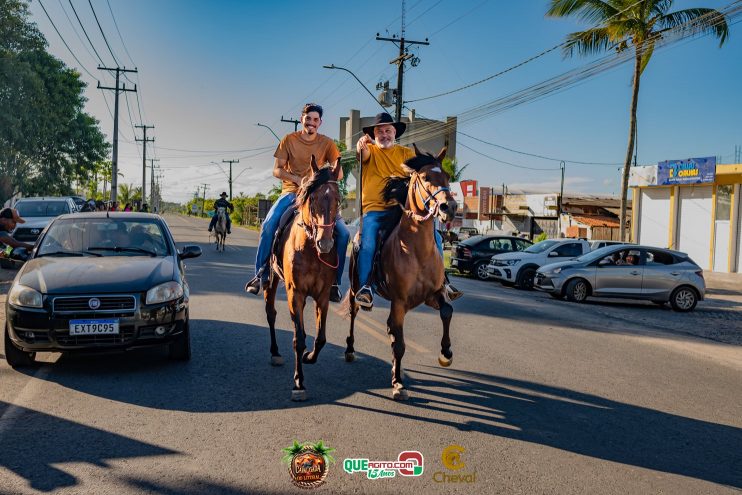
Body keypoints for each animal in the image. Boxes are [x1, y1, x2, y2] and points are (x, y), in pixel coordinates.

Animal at [264, 157, 342, 402]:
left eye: (338, 199)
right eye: (313, 198)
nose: (325, 244)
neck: (310, 249)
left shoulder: (322, 296)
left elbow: (320, 338)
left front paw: (309, 357)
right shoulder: (295, 294)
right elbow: (299, 338)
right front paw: (299, 382)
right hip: (271, 281)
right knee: (271, 313)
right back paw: (274, 352)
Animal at [344, 145, 460, 402]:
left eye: (447, 177)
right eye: (425, 177)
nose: (449, 207)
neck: (416, 249)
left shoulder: (432, 295)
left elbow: (447, 311)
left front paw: (446, 353)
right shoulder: (399, 301)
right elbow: (399, 344)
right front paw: (398, 384)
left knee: (390, 329)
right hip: (356, 289)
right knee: (355, 314)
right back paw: (350, 350)